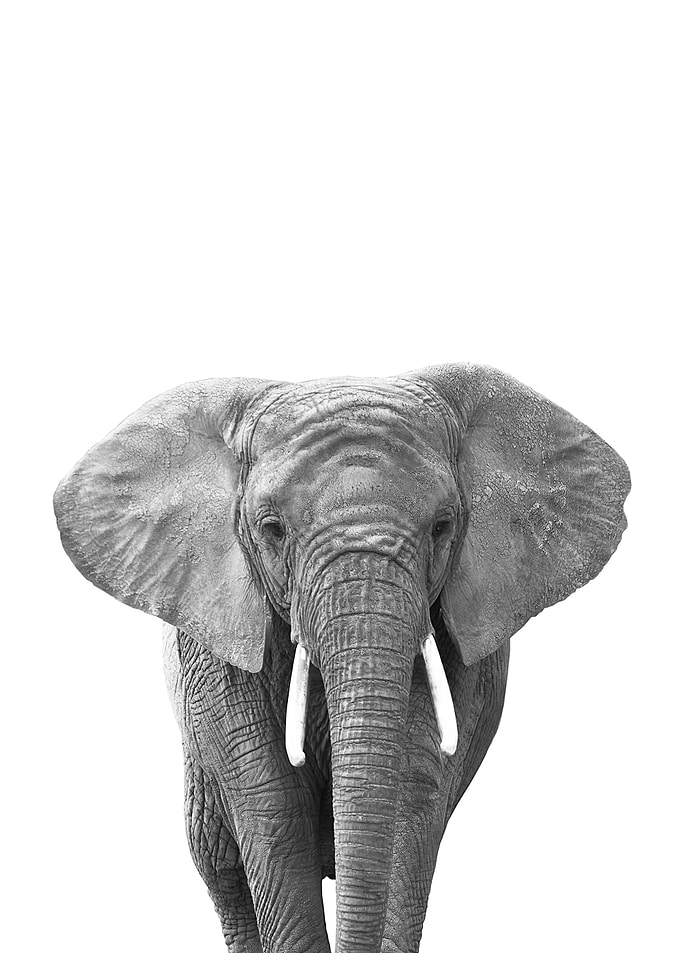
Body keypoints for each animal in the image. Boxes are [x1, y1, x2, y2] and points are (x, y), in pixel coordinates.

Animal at [54, 363, 629, 953]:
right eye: (271, 528)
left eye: (443, 526)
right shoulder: (213, 635)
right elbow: (272, 802)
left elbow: (413, 787)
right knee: (220, 868)